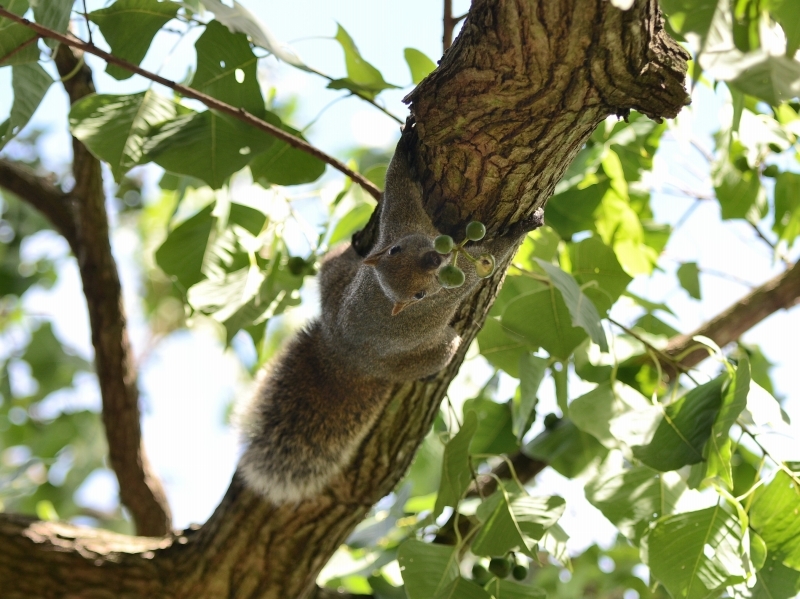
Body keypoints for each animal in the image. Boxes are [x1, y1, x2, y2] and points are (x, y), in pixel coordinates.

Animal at [233, 137, 544, 506]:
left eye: (396, 249)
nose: (434, 259)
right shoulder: (457, 272)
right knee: (444, 349)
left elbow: (399, 185)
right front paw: (522, 227)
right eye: (419, 296)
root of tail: (345, 357)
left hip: (336, 273)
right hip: (432, 351)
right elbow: (492, 256)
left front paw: (406, 140)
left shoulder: (400, 222)